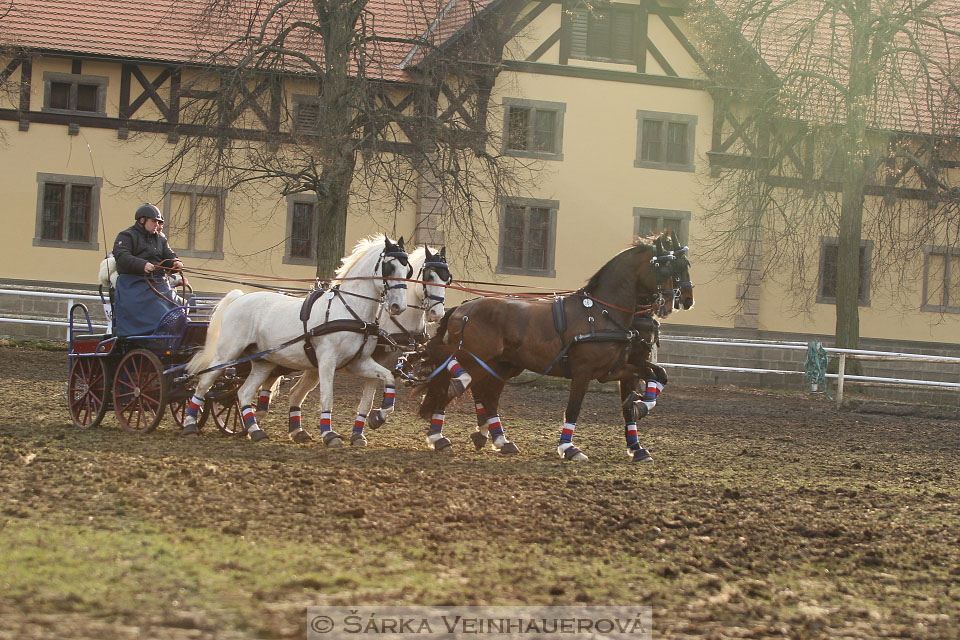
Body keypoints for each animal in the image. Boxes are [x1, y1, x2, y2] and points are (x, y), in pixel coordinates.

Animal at [183, 236, 408, 444]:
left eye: (407, 270)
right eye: (389, 266)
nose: (399, 306)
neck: (349, 311)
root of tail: (240, 298)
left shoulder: (358, 363)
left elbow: (388, 377)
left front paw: (379, 416)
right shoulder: (327, 361)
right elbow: (327, 396)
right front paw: (328, 434)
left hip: (263, 362)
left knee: (244, 393)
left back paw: (255, 430)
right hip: (226, 354)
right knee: (204, 384)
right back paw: (190, 424)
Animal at [253, 245, 452, 444]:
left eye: (447, 279)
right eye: (429, 276)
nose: (437, 313)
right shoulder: (374, 361)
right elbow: (367, 401)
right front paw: (372, 421)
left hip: (311, 366)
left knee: (295, 391)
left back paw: (294, 430)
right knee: (270, 378)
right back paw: (259, 414)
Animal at [418, 232, 688, 462]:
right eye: (666, 266)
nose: (673, 302)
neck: (601, 313)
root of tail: (464, 307)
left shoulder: (613, 369)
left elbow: (658, 374)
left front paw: (641, 406)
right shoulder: (583, 372)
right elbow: (574, 408)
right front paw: (568, 447)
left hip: (499, 365)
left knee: (485, 395)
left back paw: (498, 440)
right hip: (474, 358)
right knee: (451, 384)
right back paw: (439, 437)